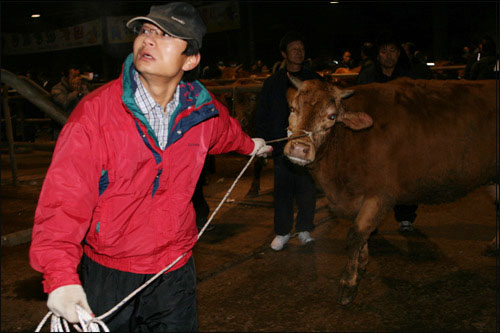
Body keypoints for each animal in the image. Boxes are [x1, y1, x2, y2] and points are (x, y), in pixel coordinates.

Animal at [284, 76, 498, 304]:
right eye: (293, 108)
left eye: (332, 116)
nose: (300, 148)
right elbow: (361, 234)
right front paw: (362, 264)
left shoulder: (380, 194)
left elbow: (356, 234)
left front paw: (348, 284)